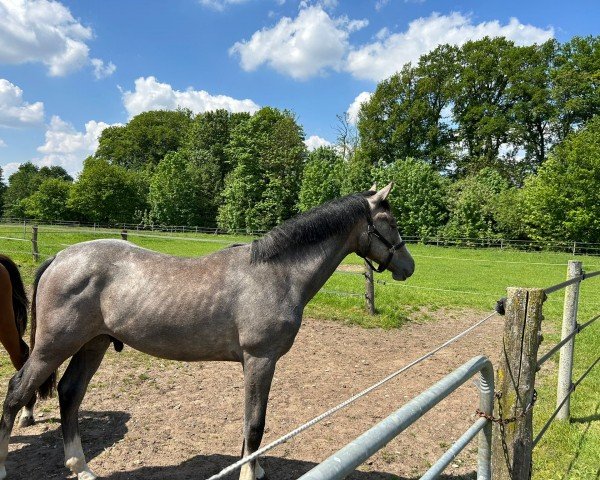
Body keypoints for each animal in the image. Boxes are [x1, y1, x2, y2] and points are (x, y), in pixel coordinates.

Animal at [0, 182, 412, 478]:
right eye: (390, 224)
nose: (408, 266)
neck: (277, 273)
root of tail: (60, 257)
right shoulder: (260, 360)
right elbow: (255, 424)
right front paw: (249, 474)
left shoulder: (255, 364)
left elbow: (250, 426)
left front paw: (254, 468)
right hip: (54, 346)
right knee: (17, 391)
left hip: (93, 344)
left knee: (70, 394)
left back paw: (82, 468)